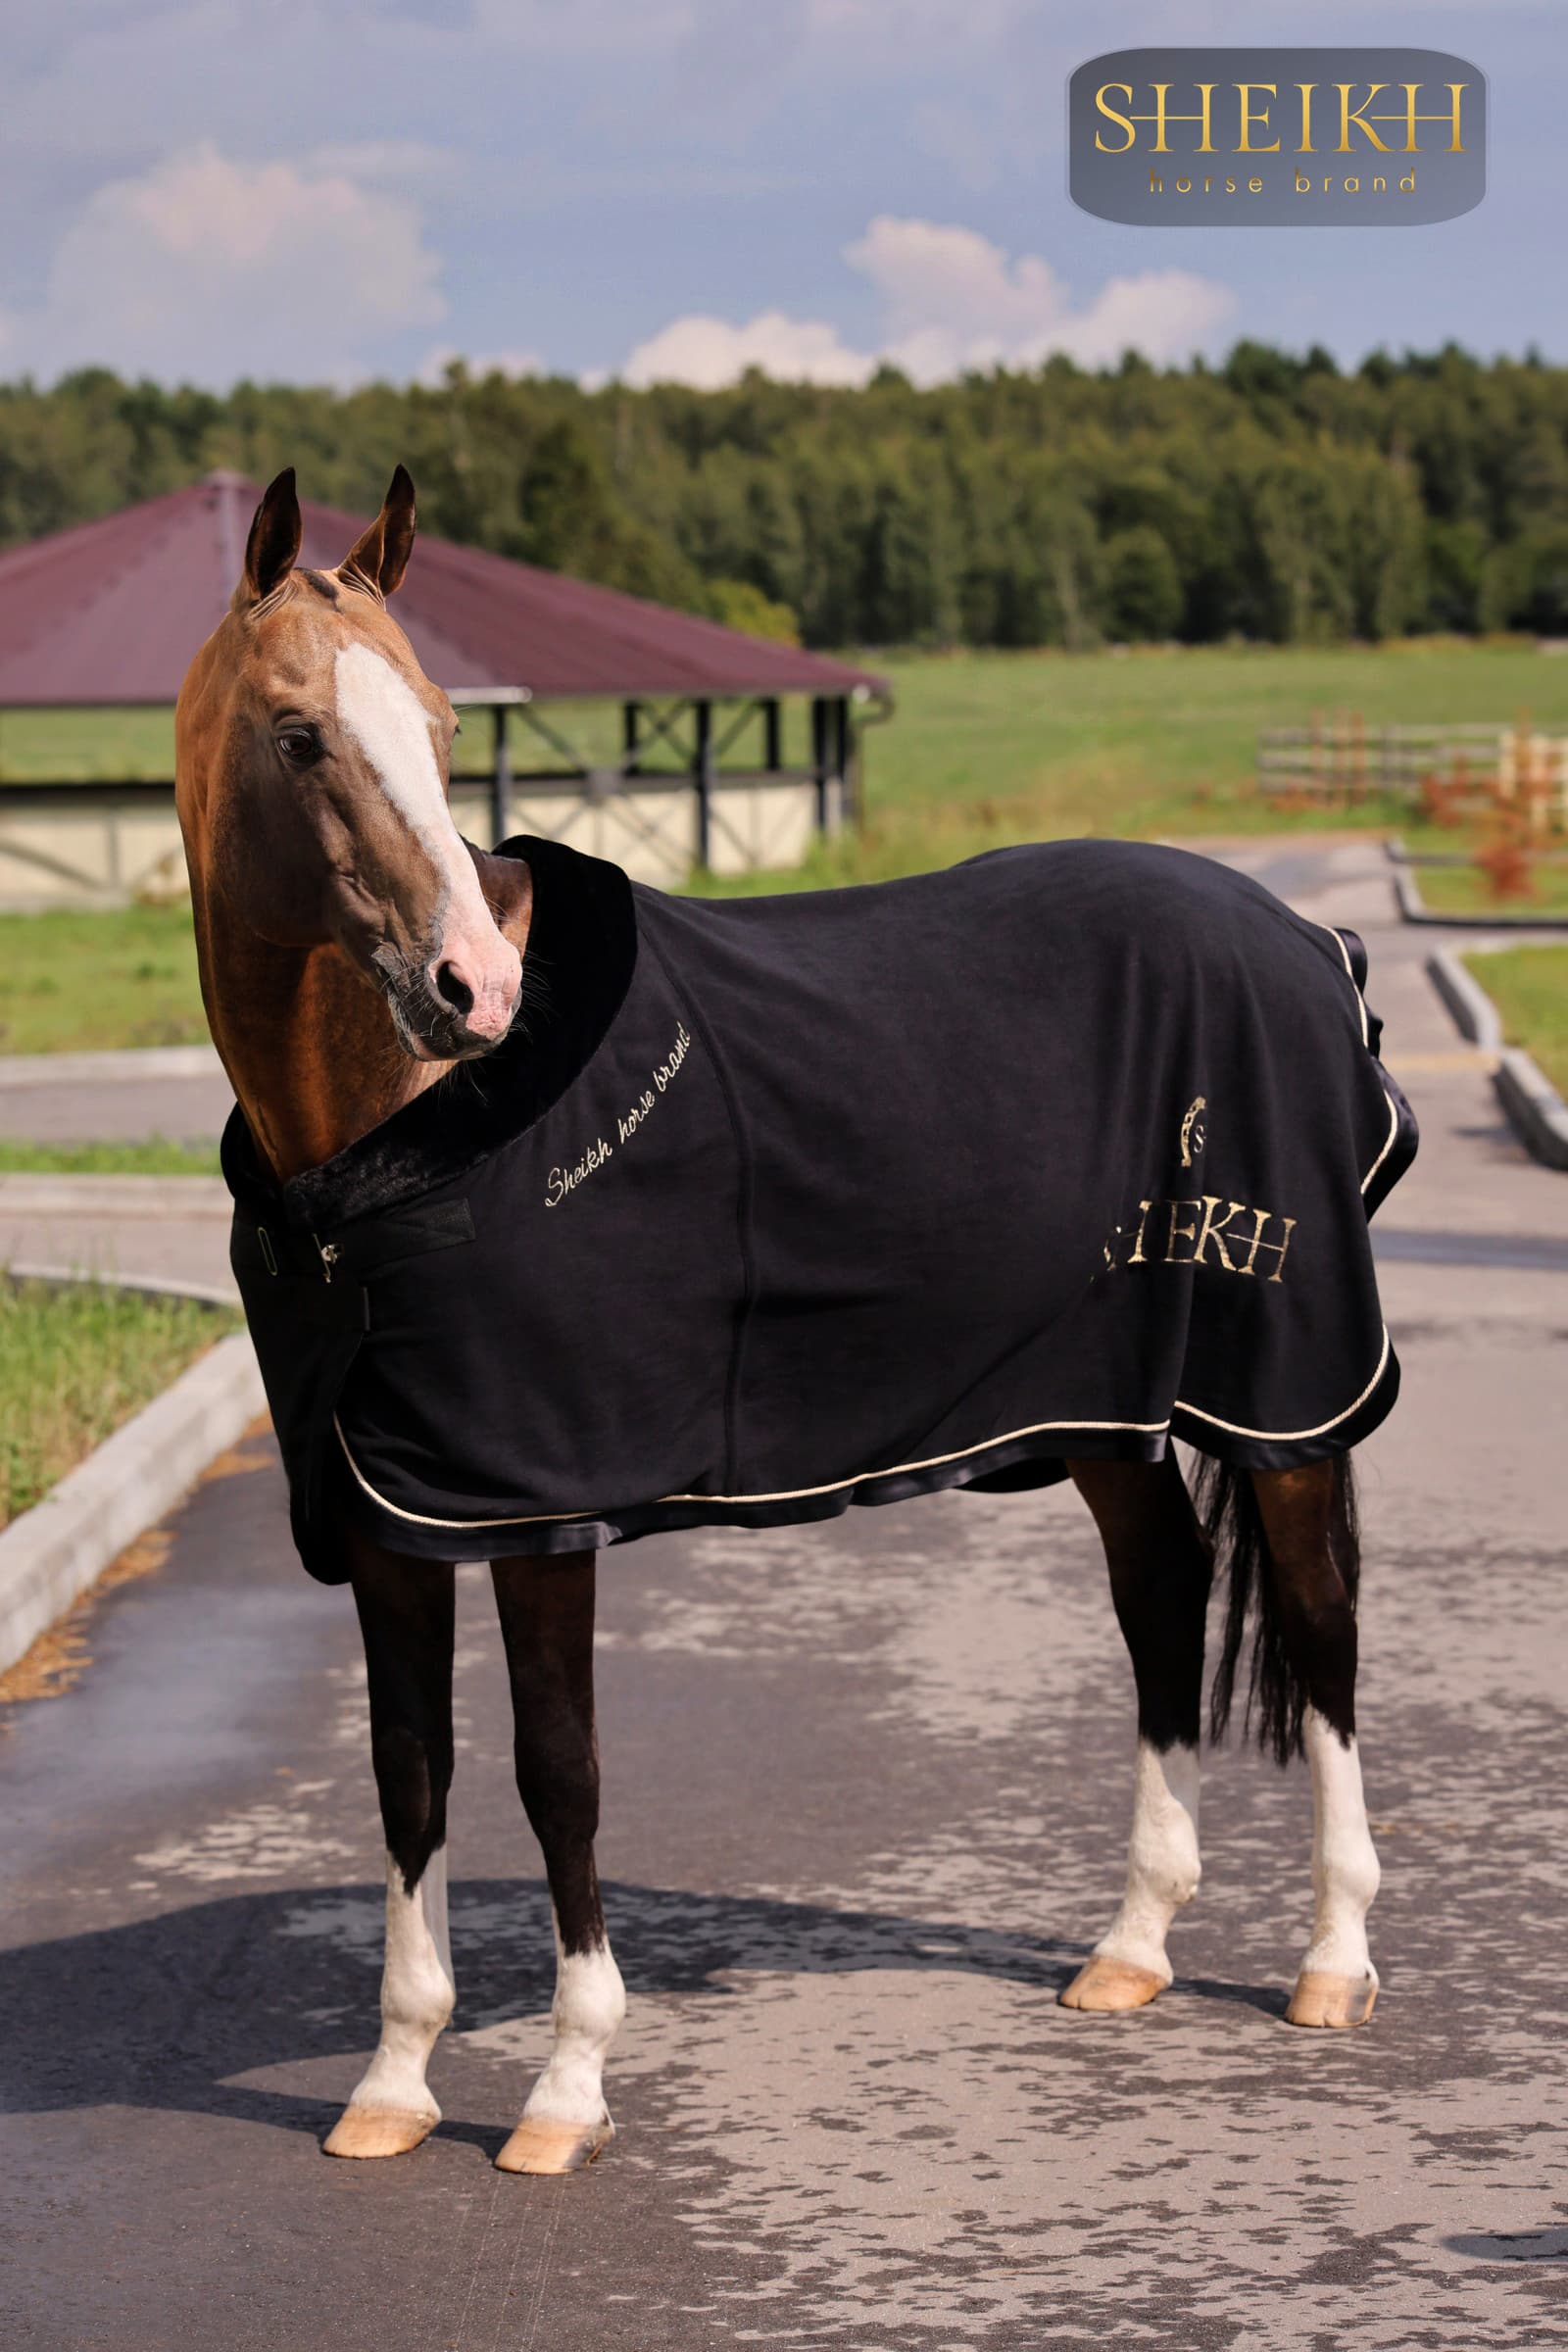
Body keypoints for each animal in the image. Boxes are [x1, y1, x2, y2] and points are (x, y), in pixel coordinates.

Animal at [175, 467, 1409, 2176]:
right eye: (300, 736)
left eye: (437, 724)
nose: (471, 987)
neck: (404, 1131)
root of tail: (1307, 943)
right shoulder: (389, 1521)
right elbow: (408, 1771)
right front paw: (394, 2081)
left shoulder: (536, 1512)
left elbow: (559, 1773)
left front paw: (565, 2091)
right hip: (1102, 1411)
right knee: (1161, 1600)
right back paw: (1133, 1948)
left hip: (1284, 1396)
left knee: (1322, 1629)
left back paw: (1333, 1962)